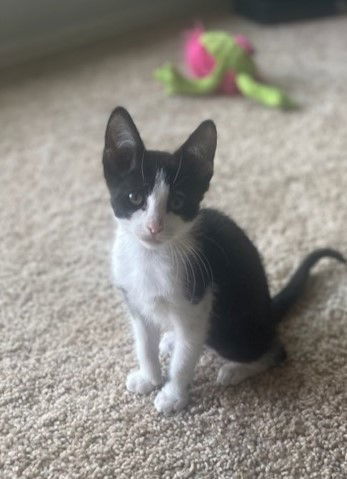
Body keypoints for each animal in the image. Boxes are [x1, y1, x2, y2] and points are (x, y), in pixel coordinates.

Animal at [102, 107, 346, 414]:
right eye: (134, 197)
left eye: (178, 202)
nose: (154, 227)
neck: (149, 257)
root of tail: (268, 310)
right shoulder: (136, 302)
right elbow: (144, 345)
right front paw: (149, 378)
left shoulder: (197, 303)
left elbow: (183, 361)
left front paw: (173, 396)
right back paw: (171, 339)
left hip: (229, 328)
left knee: (275, 351)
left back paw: (235, 370)